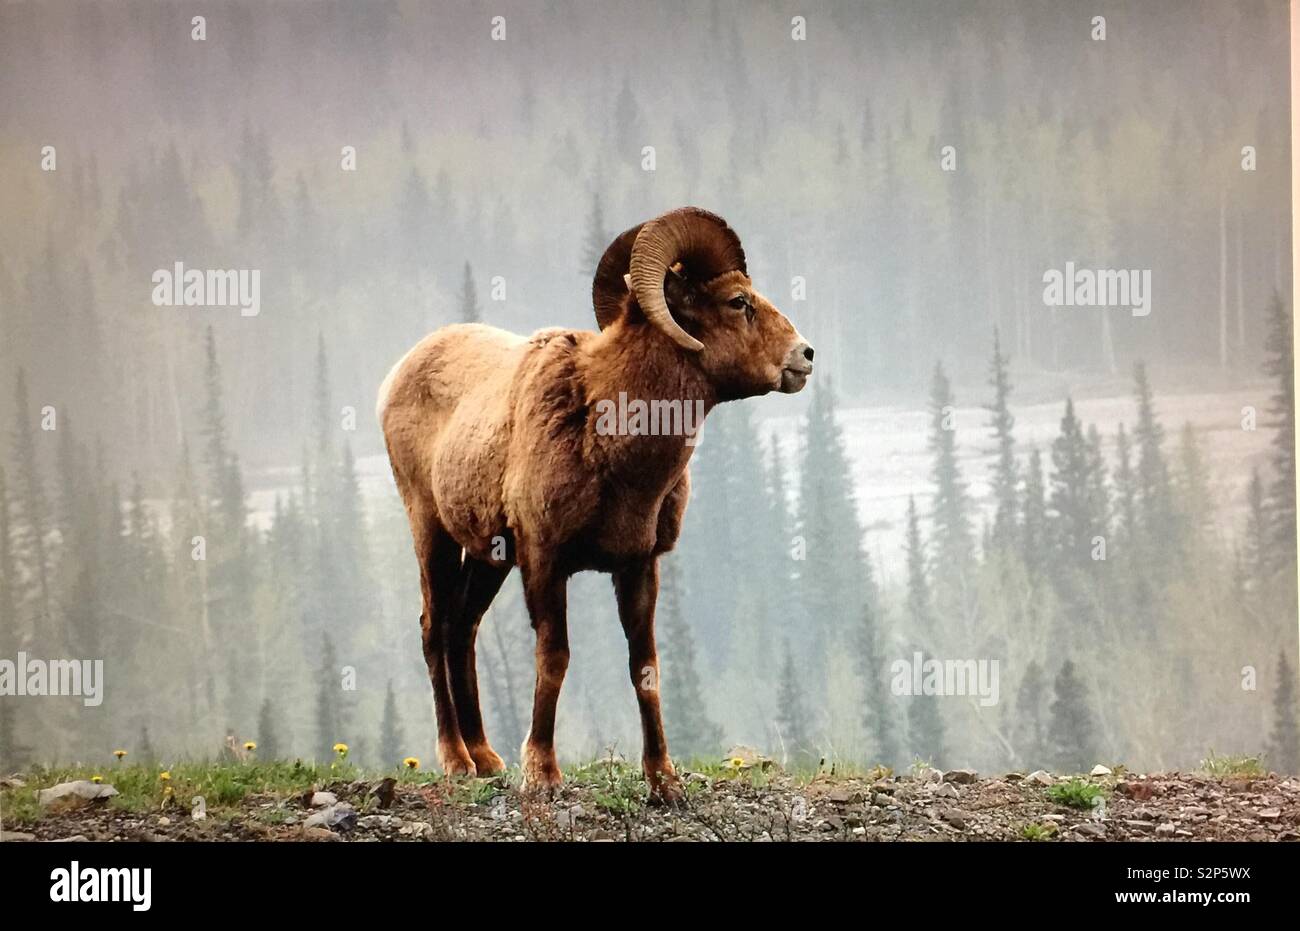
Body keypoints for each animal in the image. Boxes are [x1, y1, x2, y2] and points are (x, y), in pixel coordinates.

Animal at [377, 207, 813, 802]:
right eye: (738, 301)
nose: (805, 356)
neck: (608, 437)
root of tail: (396, 375)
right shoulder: (544, 560)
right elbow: (554, 658)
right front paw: (542, 773)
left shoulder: (638, 566)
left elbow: (645, 667)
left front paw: (664, 783)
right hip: (432, 533)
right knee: (433, 628)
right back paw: (457, 761)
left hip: (489, 558)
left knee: (462, 629)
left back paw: (487, 758)